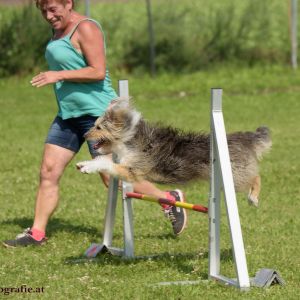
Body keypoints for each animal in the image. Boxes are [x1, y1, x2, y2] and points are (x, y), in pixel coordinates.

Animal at [75, 98, 272, 206]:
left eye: (98, 127)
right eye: (94, 125)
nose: (84, 135)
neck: (129, 138)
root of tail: (244, 137)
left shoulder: (133, 170)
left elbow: (106, 162)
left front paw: (88, 167)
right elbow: (103, 159)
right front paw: (84, 164)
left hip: (234, 175)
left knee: (256, 176)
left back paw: (253, 198)